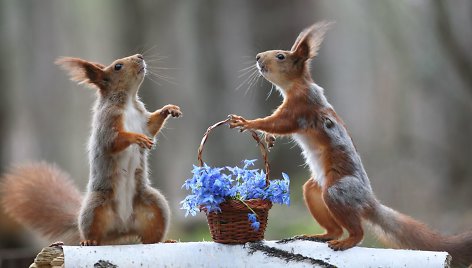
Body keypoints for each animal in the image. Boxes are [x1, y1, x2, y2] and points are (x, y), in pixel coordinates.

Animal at [0, 53, 181, 246]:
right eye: (118, 66)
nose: (140, 56)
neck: (129, 103)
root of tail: (122, 229)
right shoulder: (107, 123)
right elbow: (113, 141)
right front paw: (137, 138)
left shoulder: (143, 122)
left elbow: (152, 125)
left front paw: (169, 109)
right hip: (94, 209)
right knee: (94, 233)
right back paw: (89, 241)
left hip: (156, 207)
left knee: (151, 238)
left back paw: (165, 241)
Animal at [229, 22, 472, 266]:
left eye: (281, 56)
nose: (258, 57)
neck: (296, 85)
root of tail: (368, 201)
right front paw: (266, 137)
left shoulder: (299, 107)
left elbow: (277, 123)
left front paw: (246, 122)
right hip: (315, 192)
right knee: (334, 228)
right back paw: (320, 236)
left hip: (337, 191)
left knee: (357, 232)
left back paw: (345, 242)